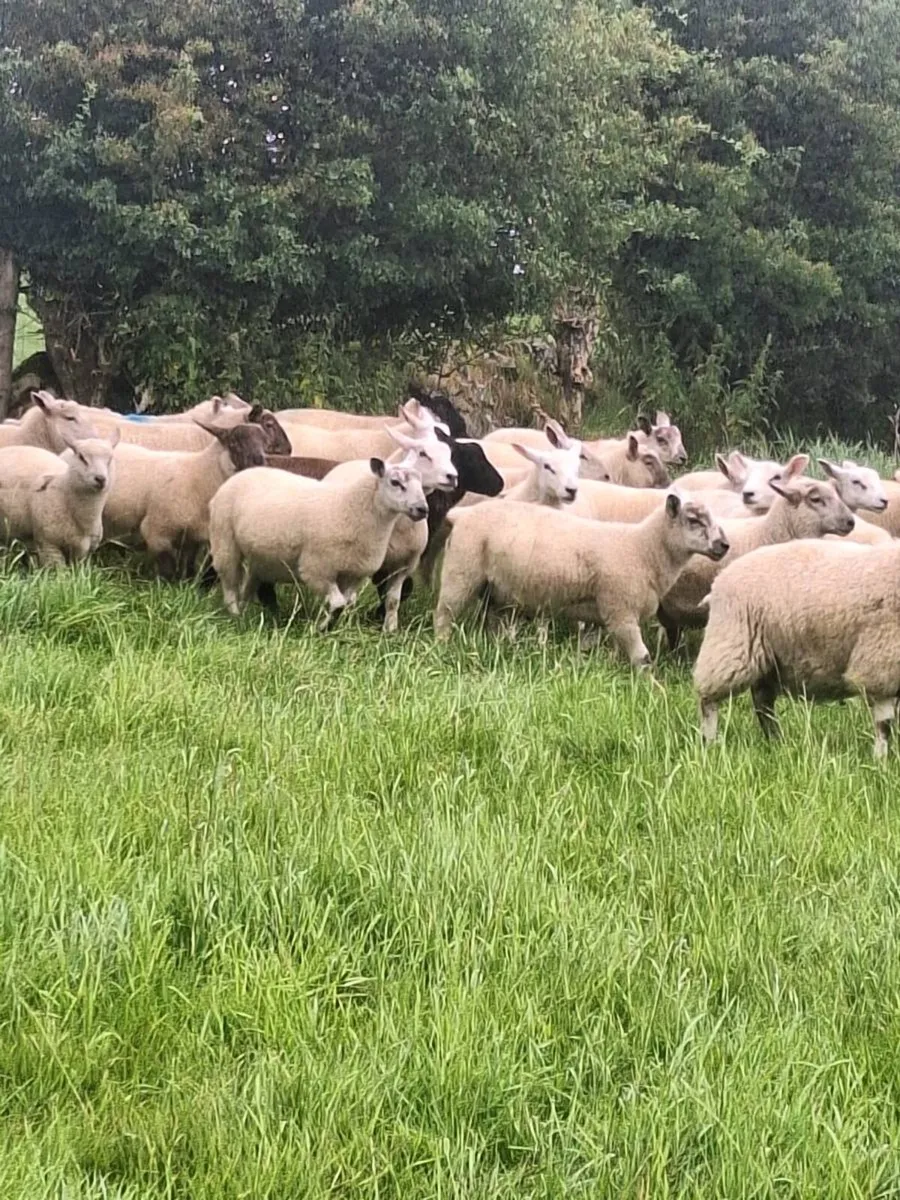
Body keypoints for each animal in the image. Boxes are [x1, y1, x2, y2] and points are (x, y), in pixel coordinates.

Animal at [102, 421, 270, 576]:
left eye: (264, 443)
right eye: (234, 443)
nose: (259, 461)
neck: (200, 474)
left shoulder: (192, 540)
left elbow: (188, 568)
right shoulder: (157, 532)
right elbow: (168, 571)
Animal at [208, 457, 428, 628]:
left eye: (422, 484)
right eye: (395, 482)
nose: (423, 509)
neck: (350, 506)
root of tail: (240, 475)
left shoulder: (353, 575)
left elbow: (346, 603)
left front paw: (330, 626)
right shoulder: (317, 569)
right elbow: (338, 603)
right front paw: (323, 628)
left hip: (260, 557)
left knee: (249, 584)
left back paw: (247, 612)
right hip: (225, 542)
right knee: (229, 584)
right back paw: (235, 615)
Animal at [434, 493, 728, 666]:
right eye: (693, 520)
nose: (724, 545)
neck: (643, 549)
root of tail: (462, 514)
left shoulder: (607, 614)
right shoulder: (620, 610)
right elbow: (642, 659)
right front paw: (653, 691)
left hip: (494, 590)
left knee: (492, 623)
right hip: (460, 573)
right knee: (444, 614)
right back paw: (442, 647)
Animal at [693, 539, 900, 758]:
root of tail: (719, 581)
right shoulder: (880, 664)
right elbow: (884, 724)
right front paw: (881, 759)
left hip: (767, 659)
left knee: (762, 703)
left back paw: (776, 741)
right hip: (730, 646)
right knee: (708, 699)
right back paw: (709, 742)